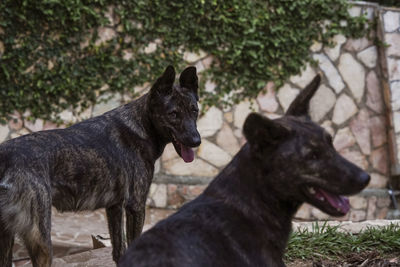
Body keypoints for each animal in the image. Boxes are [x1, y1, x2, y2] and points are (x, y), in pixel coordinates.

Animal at [0, 65, 200, 267]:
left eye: (195, 111)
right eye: (173, 114)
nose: (196, 141)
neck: (142, 125)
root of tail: (4, 157)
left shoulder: (115, 207)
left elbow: (119, 249)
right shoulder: (136, 206)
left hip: (8, 236)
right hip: (42, 242)